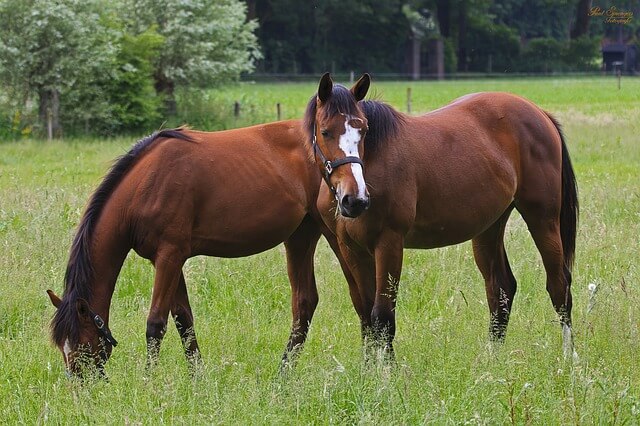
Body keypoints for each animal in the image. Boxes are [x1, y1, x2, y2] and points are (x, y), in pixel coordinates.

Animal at [46, 122, 356, 376]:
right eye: (62, 347)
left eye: (82, 344)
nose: (81, 387)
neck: (144, 185)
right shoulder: (167, 260)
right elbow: (184, 320)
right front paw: (197, 377)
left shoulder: (169, 257)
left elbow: (155, 323)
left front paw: (148, 381)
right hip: (300, 236)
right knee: (305, 302)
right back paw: (284, 373)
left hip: (333, 234)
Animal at [304, 73, 580, 360]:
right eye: (325, 131)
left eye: (364, 131)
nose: (355, 200)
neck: (374, 161)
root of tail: (539, 113)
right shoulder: (350, 248)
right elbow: (366, 314)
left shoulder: (389, 243)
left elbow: (382, 316)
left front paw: (386, 372)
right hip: (489, 227)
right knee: (500, 288)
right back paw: (493, 360)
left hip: (543, 219)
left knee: (559, 286)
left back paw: (569, 357)